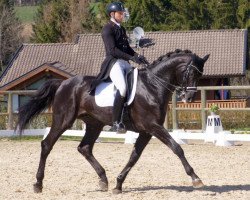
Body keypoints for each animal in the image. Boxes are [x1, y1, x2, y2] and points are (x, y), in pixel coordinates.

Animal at [17, 48, 209, 194]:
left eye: (200, 75)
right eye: (190, 72)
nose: (189, 98)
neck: (152, 86)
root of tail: (63, 83)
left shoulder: (146, 131)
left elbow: (134, 157)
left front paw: (118, 184)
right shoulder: (153, 126)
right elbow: (177, 148)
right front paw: (195, 178)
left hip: (94, 124)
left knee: (84, 148)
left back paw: (104, 180)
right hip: (63, 120)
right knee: (47, 145)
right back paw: (38, 184)